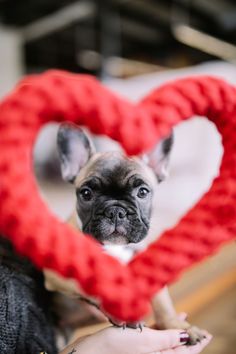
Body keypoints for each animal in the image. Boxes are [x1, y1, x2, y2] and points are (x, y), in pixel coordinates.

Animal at [45, 123, 205, 344]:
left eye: (143, 192)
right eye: (86, 193)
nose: (115, 211)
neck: (115, 247)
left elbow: (162, 302)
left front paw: (179, 327)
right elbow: (97, 284)